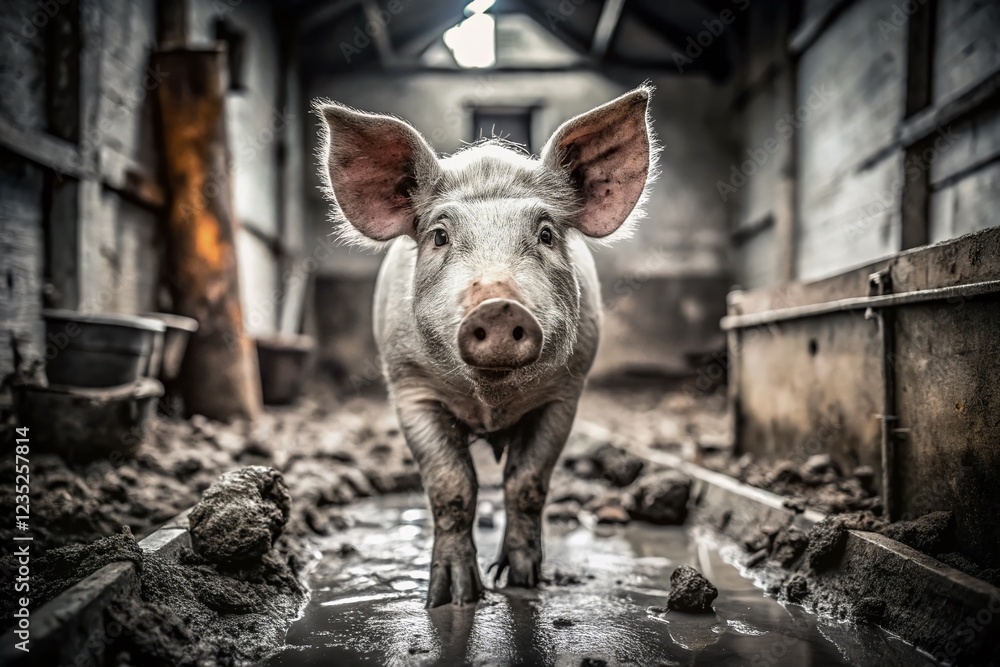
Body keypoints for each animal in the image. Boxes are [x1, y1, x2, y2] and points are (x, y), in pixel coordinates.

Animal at [314, 87, 657, 608]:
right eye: (439, 236)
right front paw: (452, 598)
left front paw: (522, 581)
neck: (491, 404)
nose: (498, 306)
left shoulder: (566, 393)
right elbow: (451, 484)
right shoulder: (409, 387)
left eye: (546, 234)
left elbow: (527, 482)